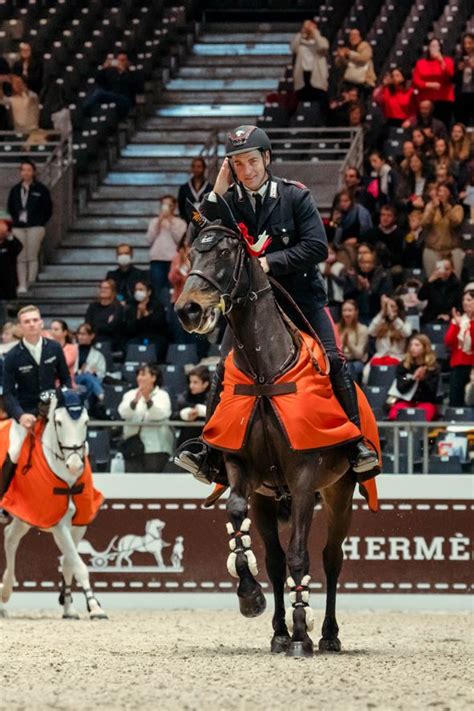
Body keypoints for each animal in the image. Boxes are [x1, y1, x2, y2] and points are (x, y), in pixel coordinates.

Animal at [0, 392, 107, 620]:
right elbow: (79, 565)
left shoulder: (79, 525)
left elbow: (68, 565)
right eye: (58, 422)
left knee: (10, 537)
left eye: (86, 421)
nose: (74, 465)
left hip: (24, 517)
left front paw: (69, 608)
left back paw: (4, 595)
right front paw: (95, 607)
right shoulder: (59, 525)